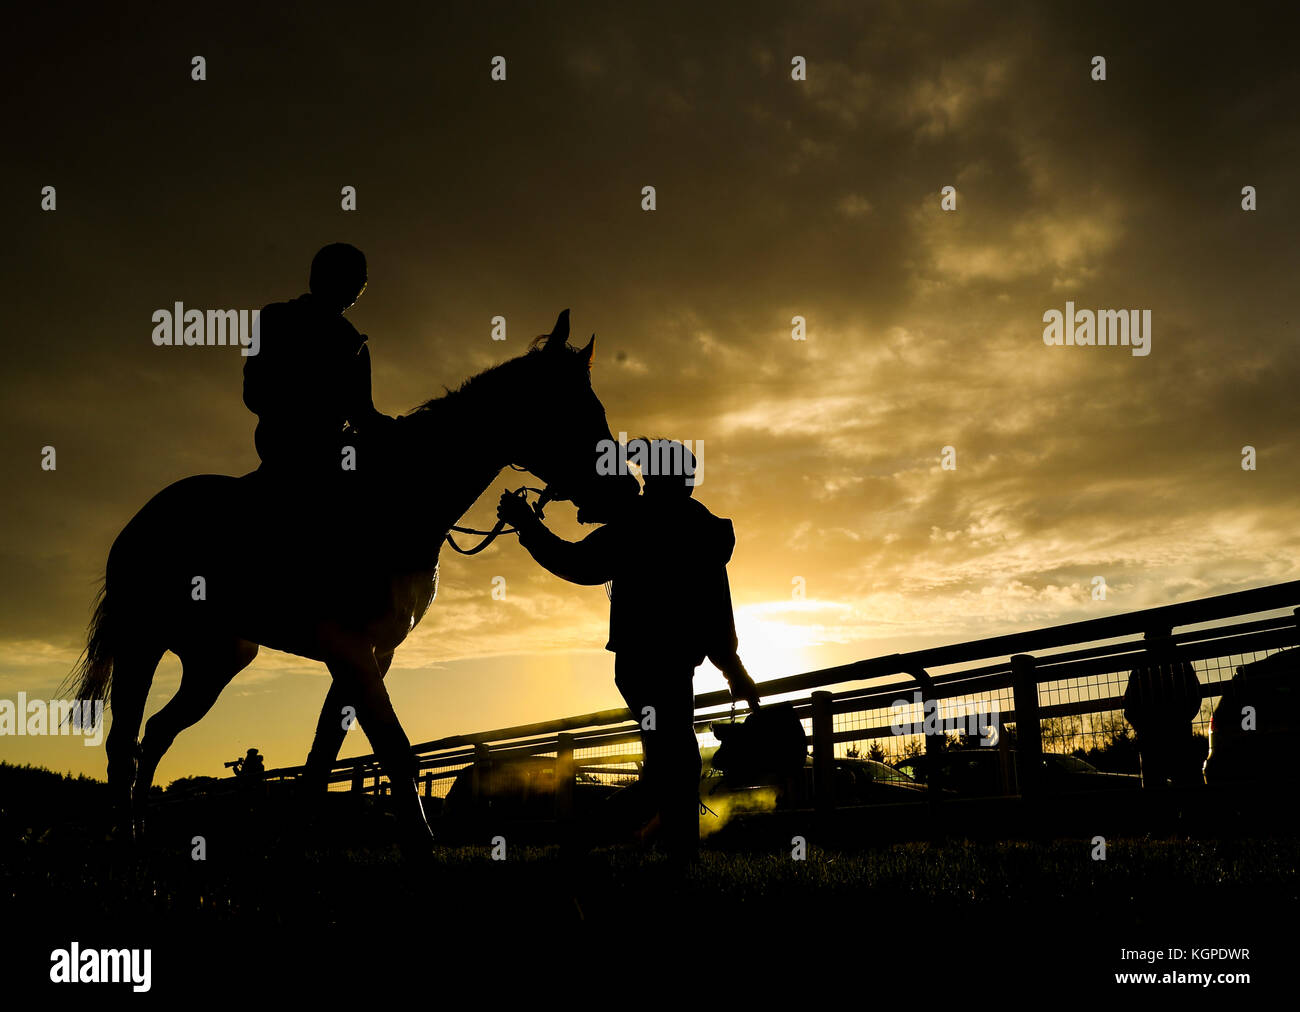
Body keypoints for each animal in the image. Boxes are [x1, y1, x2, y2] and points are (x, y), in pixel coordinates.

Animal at [68, 309, 637, 842]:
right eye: (573, 410)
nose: (625, 490)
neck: (390, 502)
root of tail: (141, 522)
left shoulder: (372, 652)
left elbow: (324, 755)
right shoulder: (348, 645)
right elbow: (392, 745)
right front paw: (420, 843)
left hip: (217, 659)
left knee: (158, 732)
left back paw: (140, 830)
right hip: (142, 640)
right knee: (123, 739)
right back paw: (124, 834)